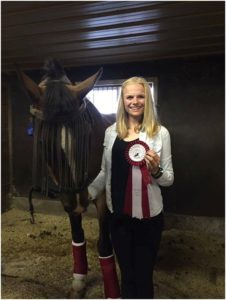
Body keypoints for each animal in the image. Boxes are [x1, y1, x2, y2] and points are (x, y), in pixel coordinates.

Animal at [16, 58, 120, 298]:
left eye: (87, 134)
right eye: (43, 142)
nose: (80, 201)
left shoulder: (100, 196)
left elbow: (104, 244)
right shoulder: (68, 198)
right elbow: (78, 236)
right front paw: (79, 282)